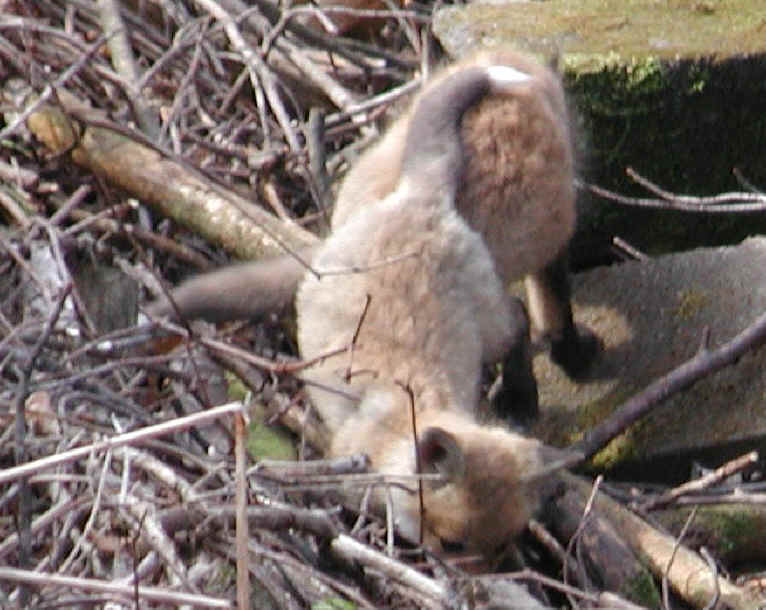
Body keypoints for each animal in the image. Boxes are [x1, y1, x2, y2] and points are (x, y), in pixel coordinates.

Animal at [294, 64, 563, 555]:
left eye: (500, 549)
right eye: (452, 545)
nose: (478, 584)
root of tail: (423, 196)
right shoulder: (343, 469)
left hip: (489, 321)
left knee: (517, 318)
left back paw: (522, 392)